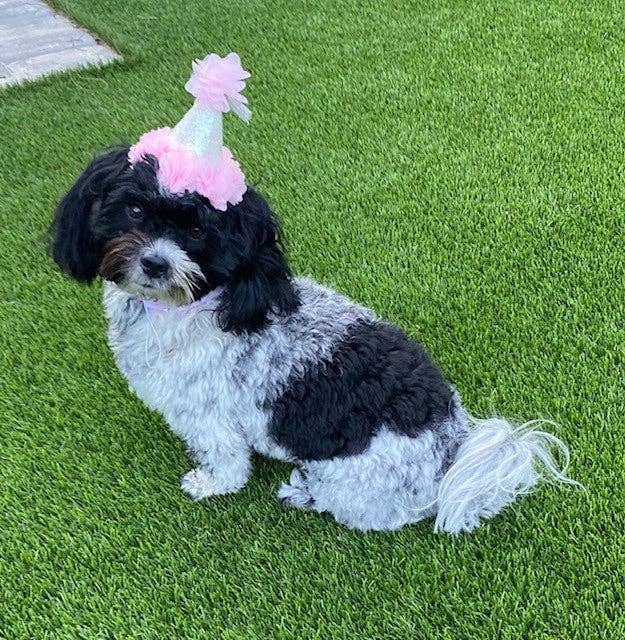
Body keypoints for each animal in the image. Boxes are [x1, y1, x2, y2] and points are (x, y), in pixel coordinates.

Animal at [50, 148, 572, 532]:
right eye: (134, 209)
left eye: (197, 230)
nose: (155, 263)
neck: (196, 304)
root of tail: (452, 451)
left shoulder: (207, 415)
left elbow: (228, 462)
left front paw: (210, 484)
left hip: (352, 480)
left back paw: (304, 493)